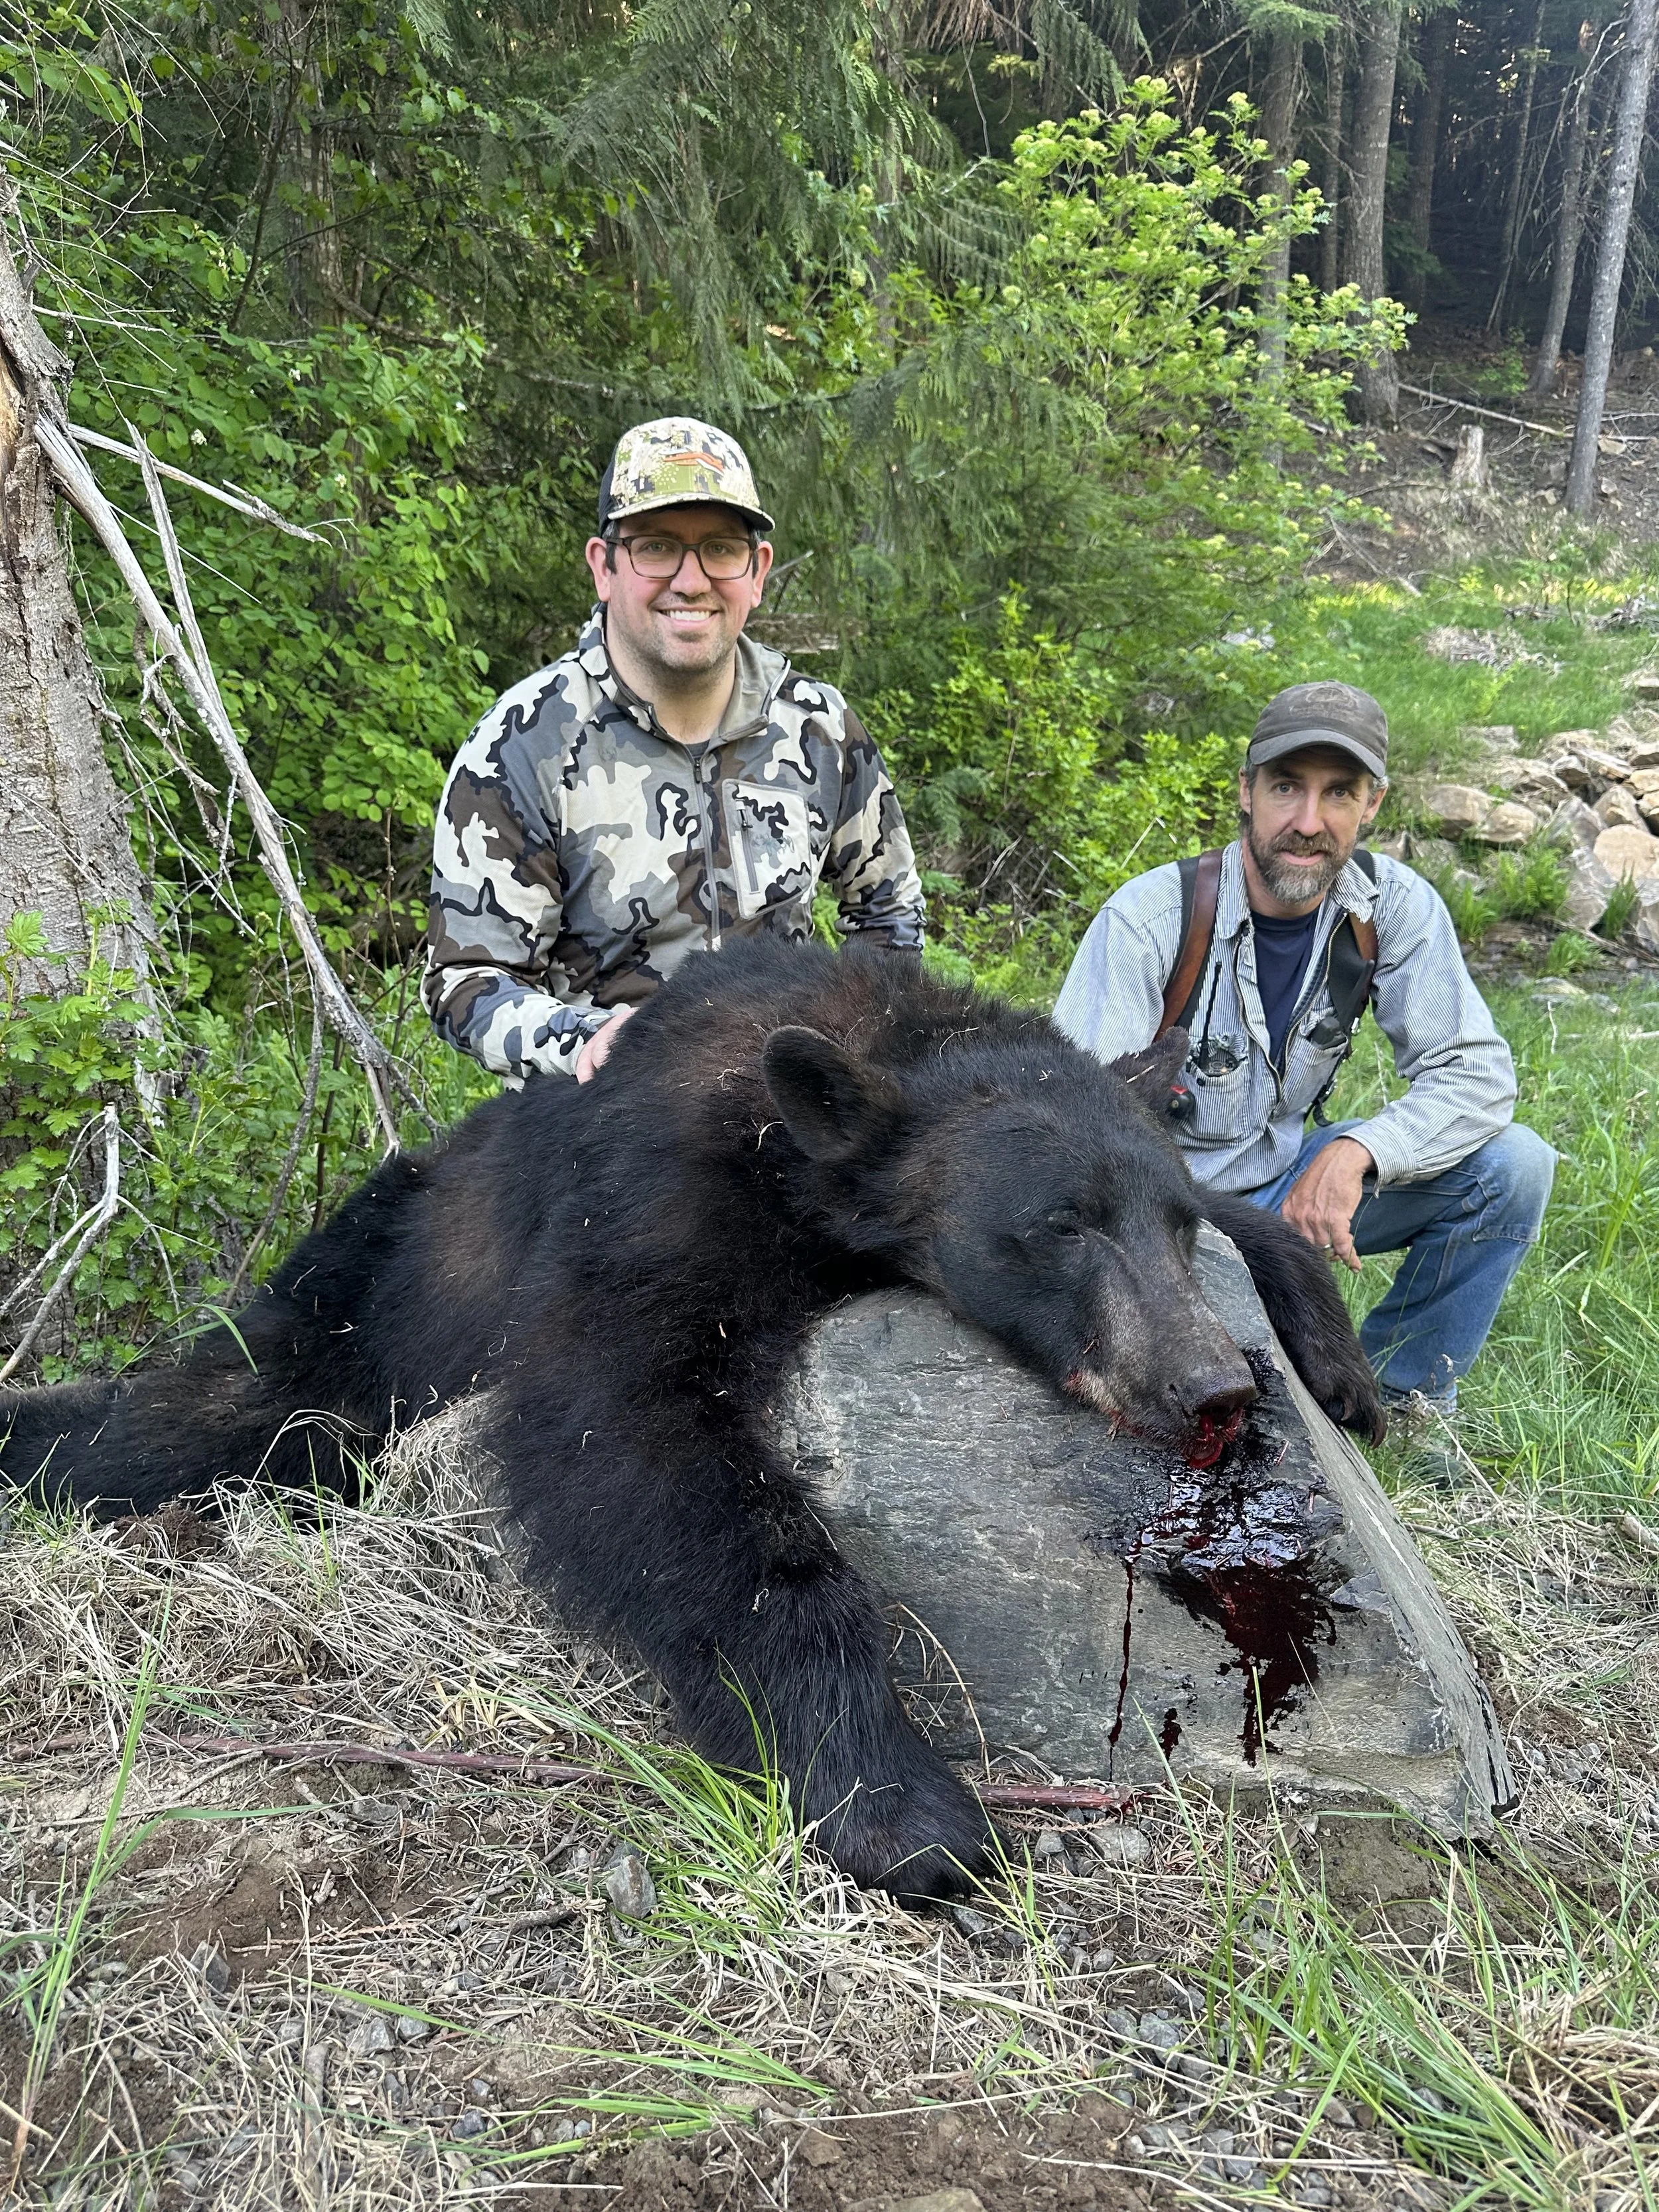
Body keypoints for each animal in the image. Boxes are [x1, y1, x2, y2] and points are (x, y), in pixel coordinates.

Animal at [0, 937, 1382, 1899]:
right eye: (1059, 1224)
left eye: (1170, 1222)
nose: (1209, 1384)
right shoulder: (654, 1201)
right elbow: (640, 1436)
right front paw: (902, 1803)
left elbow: (1265, 1227)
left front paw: (1334, 1353)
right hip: (377, 1277)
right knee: (235, 1403)